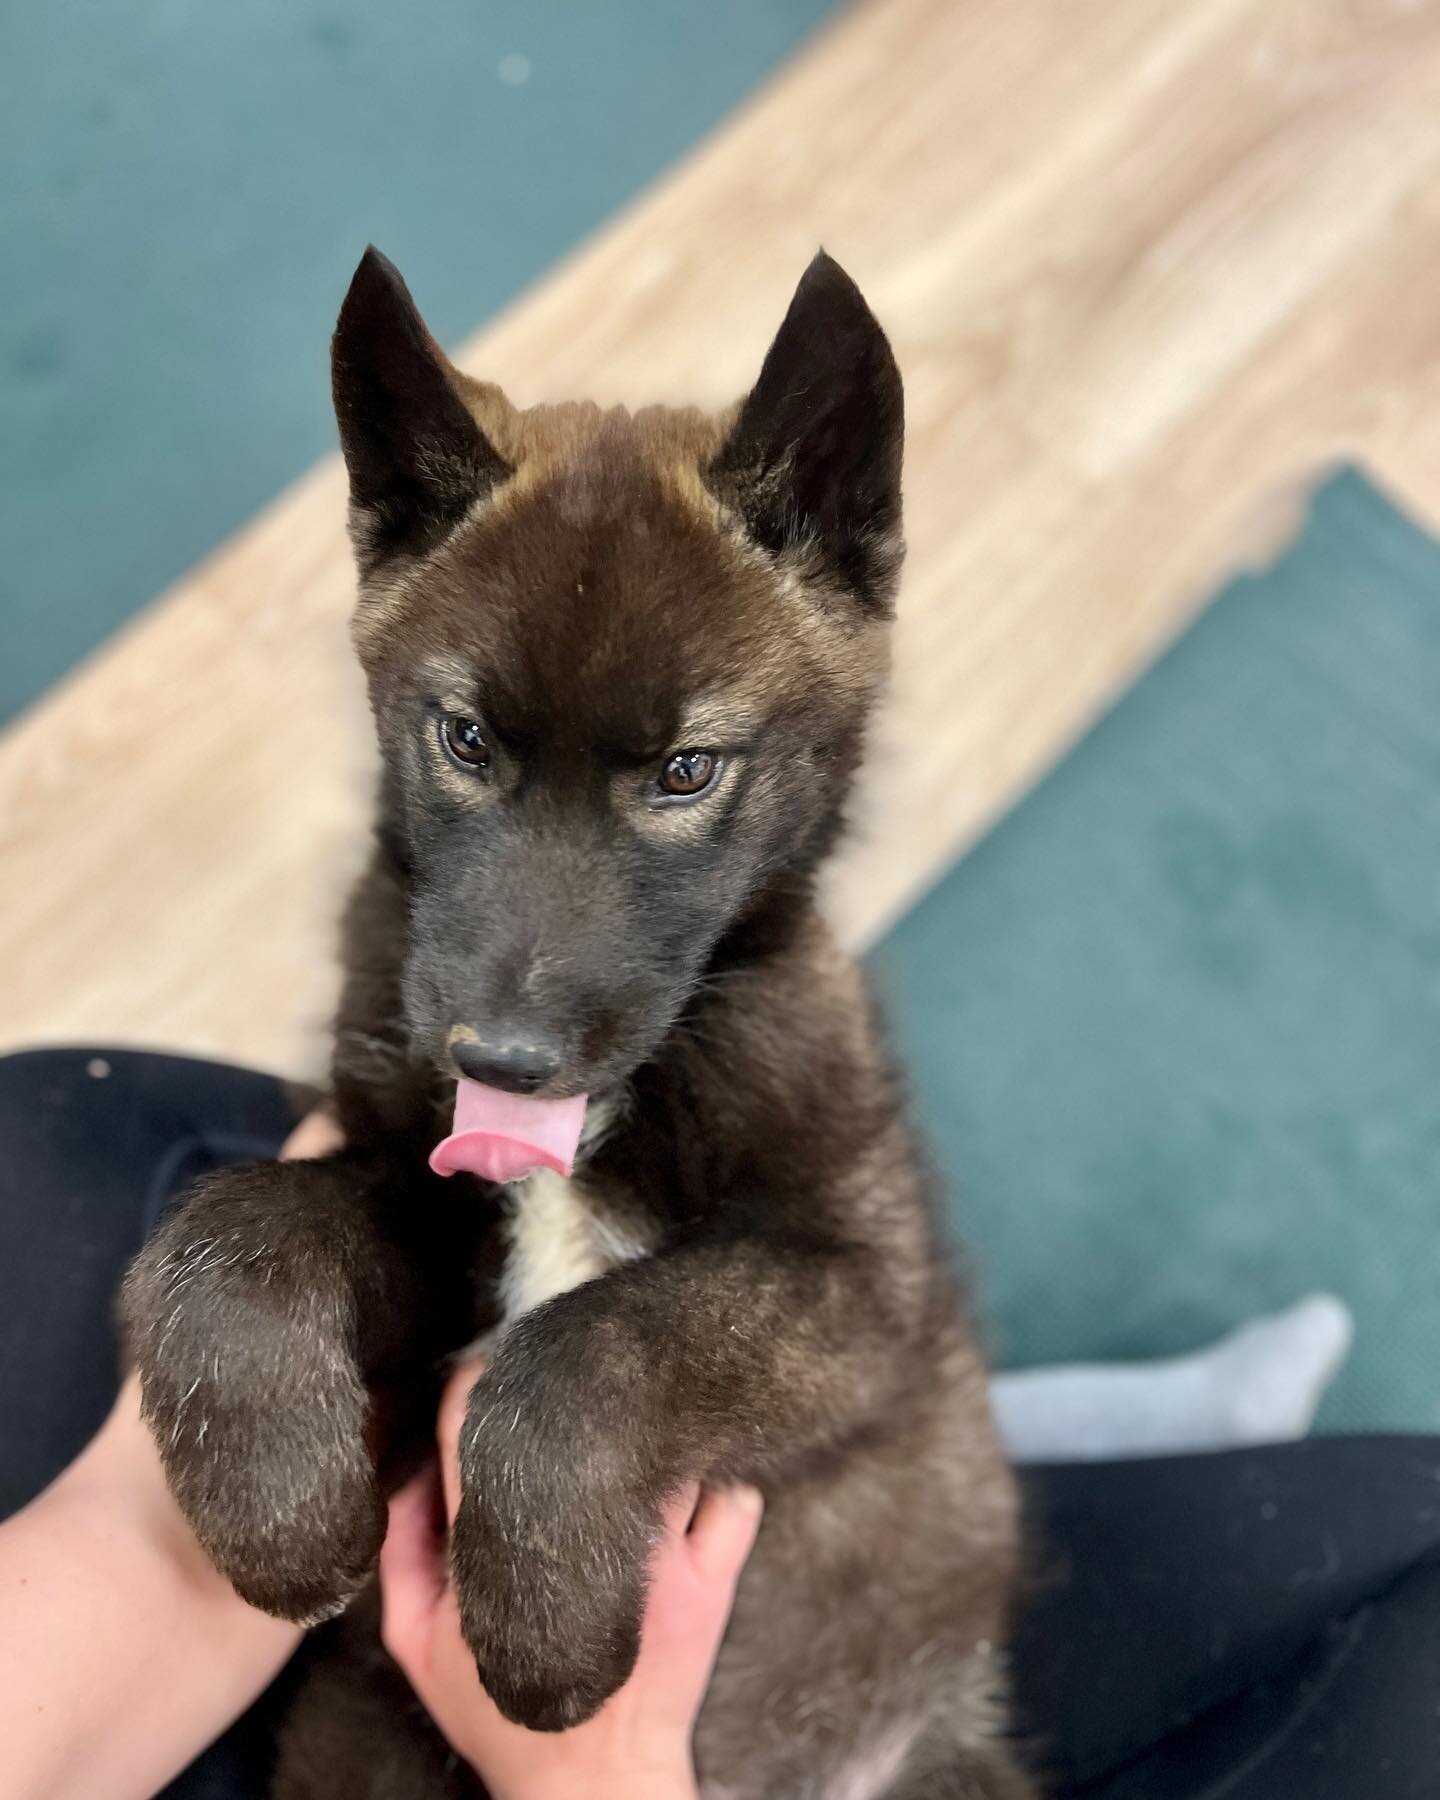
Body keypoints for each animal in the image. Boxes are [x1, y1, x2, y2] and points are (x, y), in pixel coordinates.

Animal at [117, 246, 1029, 1792]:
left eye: (687, 771)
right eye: (466, 740)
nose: (503, 1062)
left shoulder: (863, 1290)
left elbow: (594, 1343)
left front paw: (545, 1635)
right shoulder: (426, 1226)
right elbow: (236, 1223)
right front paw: (272, 1505)